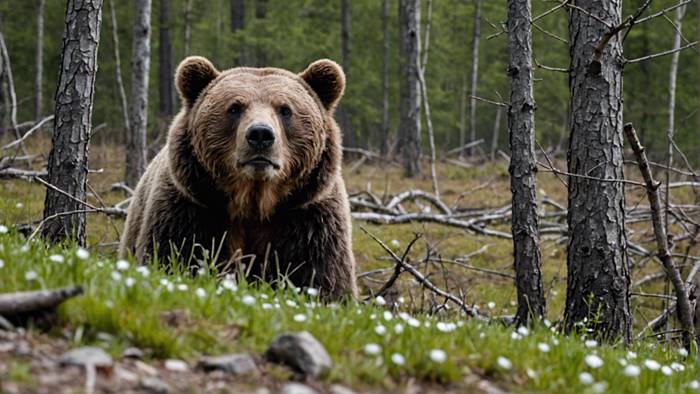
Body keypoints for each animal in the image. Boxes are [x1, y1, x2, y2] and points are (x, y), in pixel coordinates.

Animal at [118, 57, 358, 298]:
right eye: (234, 107)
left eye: (285, 109)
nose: (260, 134)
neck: (253, 203)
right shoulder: (187, 212)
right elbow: (172, 256)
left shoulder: (310, 223)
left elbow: (324, 280)